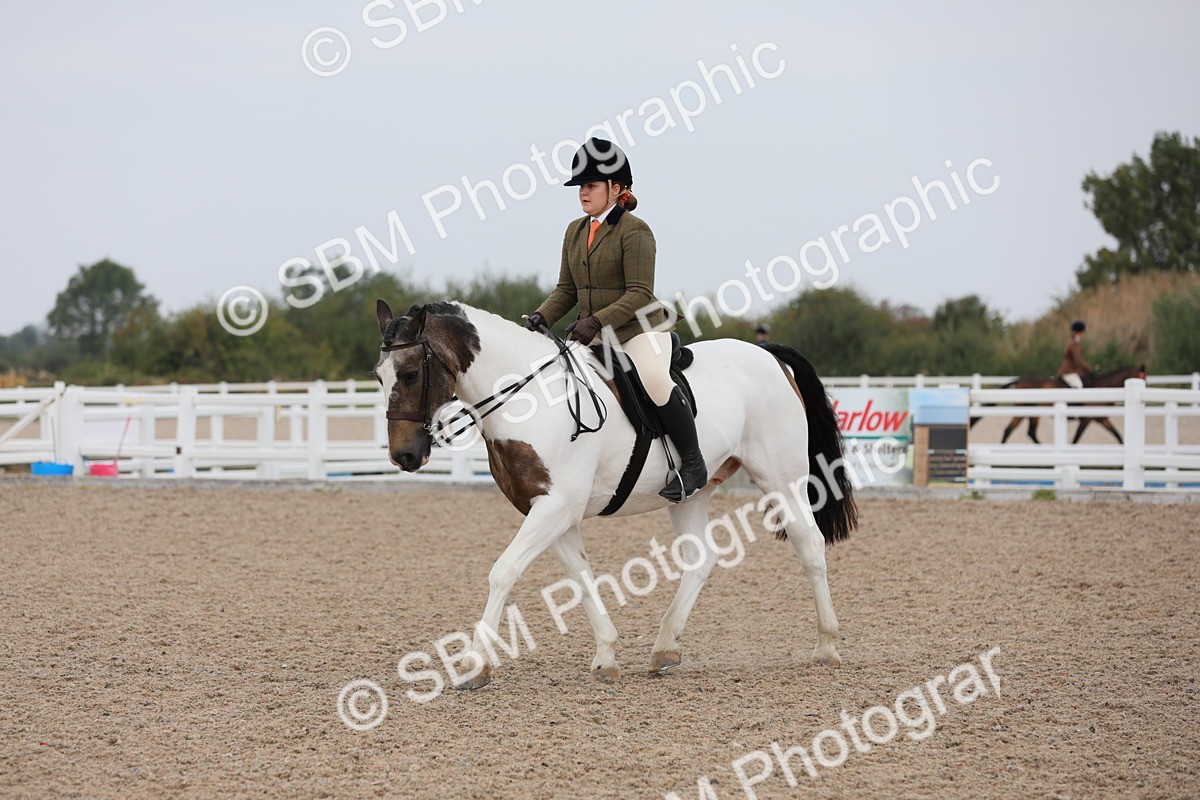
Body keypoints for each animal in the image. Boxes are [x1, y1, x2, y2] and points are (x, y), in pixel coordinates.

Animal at [372, 300, 857, 688]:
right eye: (378, 377)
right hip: (693, 494)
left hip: (782, 479)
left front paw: (475, 664)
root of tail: (768, 355)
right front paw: (606, 655)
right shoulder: (548, 510)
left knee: (809, 546)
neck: (529, 398)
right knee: (700, 560)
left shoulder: (555, 508)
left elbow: (503, 572)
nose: (404, 455)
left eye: (412, 373)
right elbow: (581, 577)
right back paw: (664, 649)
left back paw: (827, 647)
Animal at [969, 365, 1147, 444]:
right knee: (1012, 431)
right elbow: (1076, 439)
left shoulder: (1100, 418)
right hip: (1026, 412)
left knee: (1028, 432)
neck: (1102, 387)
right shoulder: (1086, 419)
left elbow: (1118, 435)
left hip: (1032, 414)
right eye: (1143, 378)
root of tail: (1019, 380)